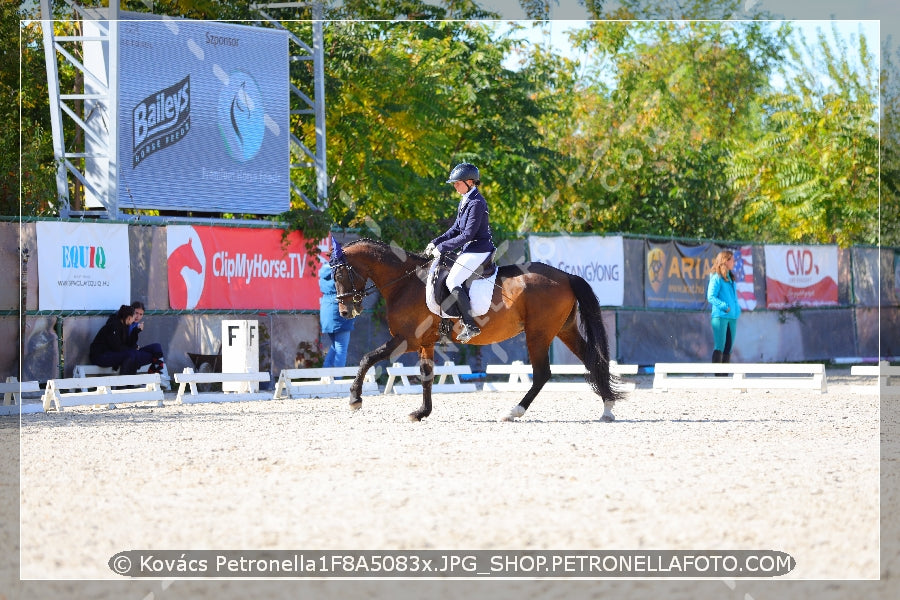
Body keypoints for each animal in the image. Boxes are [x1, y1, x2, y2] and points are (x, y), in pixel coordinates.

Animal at [326, 237, 624, 424]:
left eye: (338, 275)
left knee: (542, 373)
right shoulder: (425, 342)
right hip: (564, 329)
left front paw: (354, 399)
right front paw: (422, 412)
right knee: (592, 360)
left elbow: (368, 358)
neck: (404, 283)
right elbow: (426, 376)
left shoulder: (406, 339)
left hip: (538, 334)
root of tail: (566, 276)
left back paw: (512, 412)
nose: (345, 312)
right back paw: (608, 408)